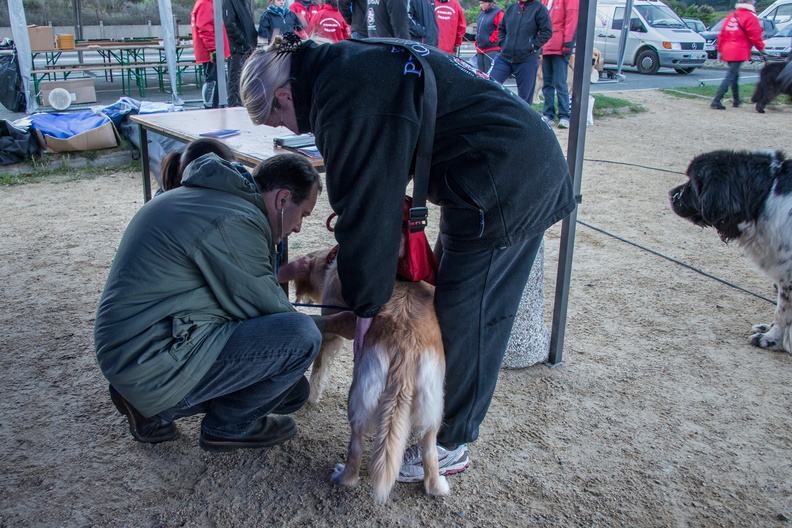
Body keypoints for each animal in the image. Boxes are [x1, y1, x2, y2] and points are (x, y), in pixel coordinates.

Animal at [290, 248, 452, 504]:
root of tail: (405, 345)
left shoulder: (333, 331)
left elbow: (318, 368)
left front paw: (312, 397)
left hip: (358, 396)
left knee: (355, 449)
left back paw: (343, 476)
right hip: (433, 406)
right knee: (430, 450)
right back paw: (437, 486)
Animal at [668, 150, 792, 354]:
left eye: (693, 182)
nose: (671, 194)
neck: (765, 197)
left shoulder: (788, 277)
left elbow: (783, 313)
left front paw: (771, 339)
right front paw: (769, 330)